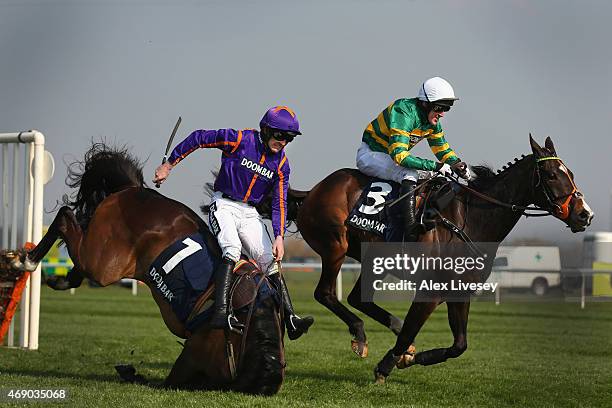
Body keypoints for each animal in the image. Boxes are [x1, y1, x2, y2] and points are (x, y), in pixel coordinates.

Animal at [20, 144, 286, 396]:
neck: (245, 330)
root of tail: (131, 190)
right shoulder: (193, 355)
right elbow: (164, 381)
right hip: (103, 264)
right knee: (65, 217)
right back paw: (29, 259)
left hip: (102, 258)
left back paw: (60, 277)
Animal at [282, 136, 592, 382]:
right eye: (551, 175)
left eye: (571, 173)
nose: (584, 214)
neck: (471, 220)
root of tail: (313, 191)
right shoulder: (429, 292)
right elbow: (412, 330)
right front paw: (386, 365)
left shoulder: (459, 291)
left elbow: (459, 345)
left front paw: (408, 357)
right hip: (335, 246)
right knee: (325, 293)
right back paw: (359, 334)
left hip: (374, 261)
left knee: (358, 299)